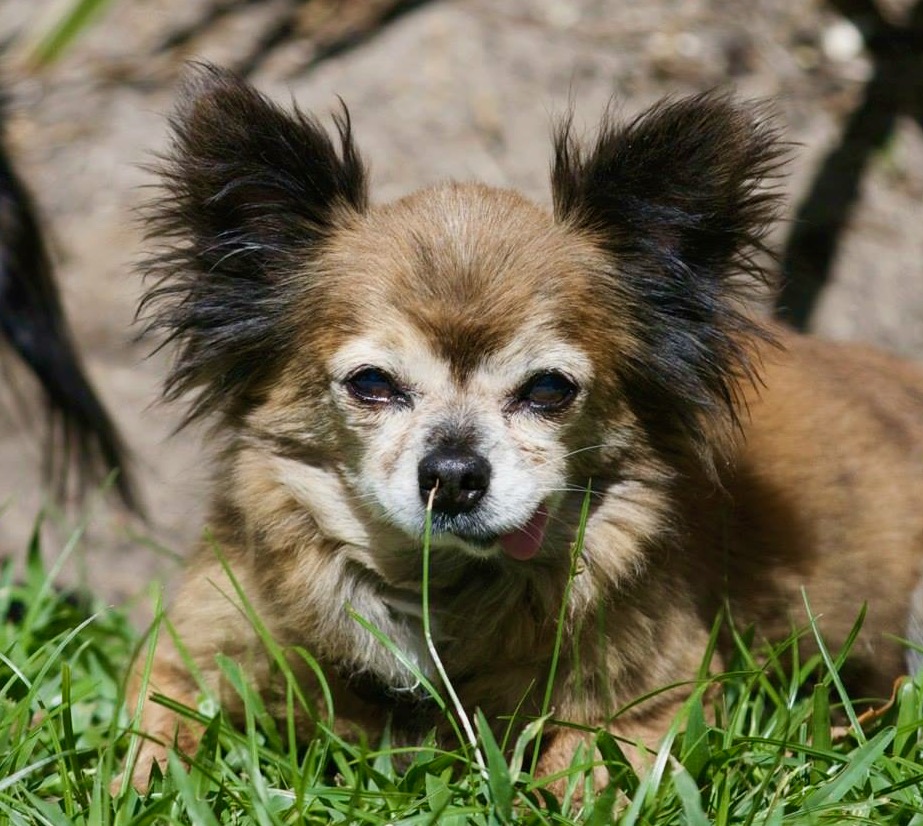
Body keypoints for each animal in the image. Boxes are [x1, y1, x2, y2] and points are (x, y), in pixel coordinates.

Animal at [126, 64, 923, 784]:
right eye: (372, 384)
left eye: (547, 390)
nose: (452, 476)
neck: (437, 589)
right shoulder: (187, 658)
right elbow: (150, 743)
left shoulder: (655, 701)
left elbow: (583, 766)